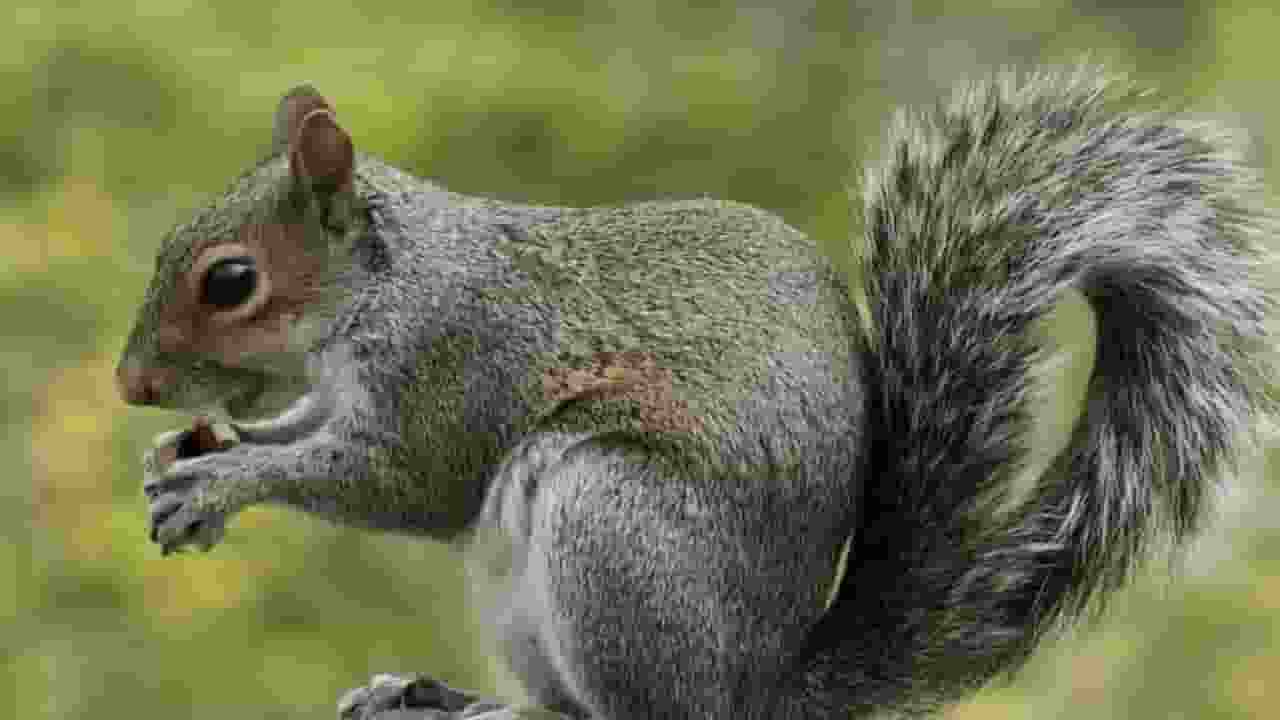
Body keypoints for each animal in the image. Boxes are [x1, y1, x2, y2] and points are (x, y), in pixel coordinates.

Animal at [116, 68, 1275, 719]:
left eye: (230, 281)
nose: (132, 385)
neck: (388, 283)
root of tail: (759, 687)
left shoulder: (461, 358)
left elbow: (407, 481)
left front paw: (220, 481)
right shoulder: (349, 389)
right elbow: (308, 426)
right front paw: (191, 452)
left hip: (614, 529)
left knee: (640, 715)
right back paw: (439, 695)